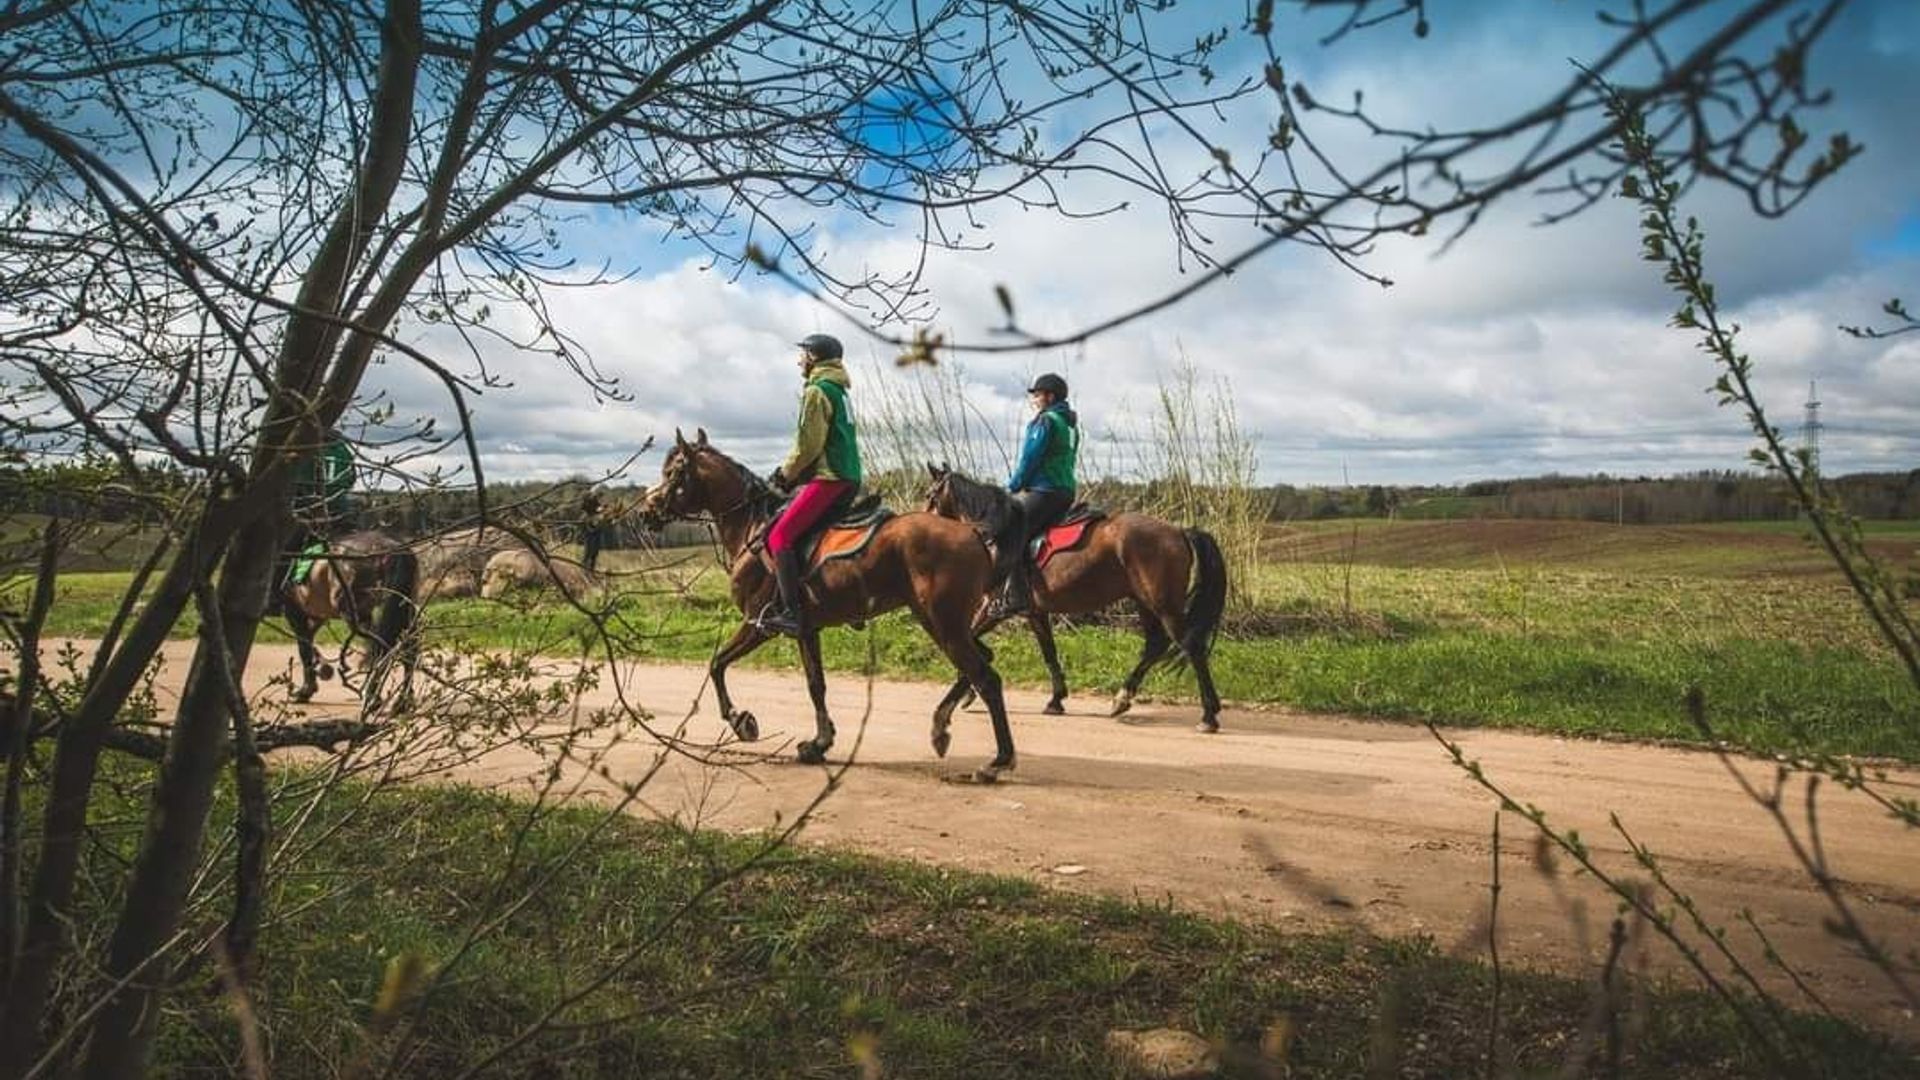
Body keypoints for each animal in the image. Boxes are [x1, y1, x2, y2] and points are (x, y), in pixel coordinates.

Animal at [278, 526, 420, 711]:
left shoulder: (294, 612)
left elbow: (304, 650)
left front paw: (305, 691)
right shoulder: (317, 617)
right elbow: (309, 644)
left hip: (359, 615)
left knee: (379, 649)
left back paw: (373, 697)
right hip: (404, 612)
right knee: (408, 651)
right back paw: (403, 701)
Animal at [637, 424, 1021, 776]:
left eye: (672, 472)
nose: (645, 512)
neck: (751, 525)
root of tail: (972, 532)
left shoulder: (757, 625)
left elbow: (716, 664)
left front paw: (740, 721)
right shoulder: (807, 630)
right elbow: (815, 685)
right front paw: (819, 743)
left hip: (943, 623)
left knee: (986, 677)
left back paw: (997, 761)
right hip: (946, 623)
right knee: (981, 663)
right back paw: (941, 727)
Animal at [917, 465, 1221, 730]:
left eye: (930, 495)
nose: (922, 526)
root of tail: (1179, 530)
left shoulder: (992, 609)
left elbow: (967, 639)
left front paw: (968, 690)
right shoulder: (1035, 612)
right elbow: (1049, 652)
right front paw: (1056, 700)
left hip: (1164, 605)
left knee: (1191, 646)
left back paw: (1208, 715)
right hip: (1144, 602)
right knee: (1155, 645)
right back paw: (1122, 698)